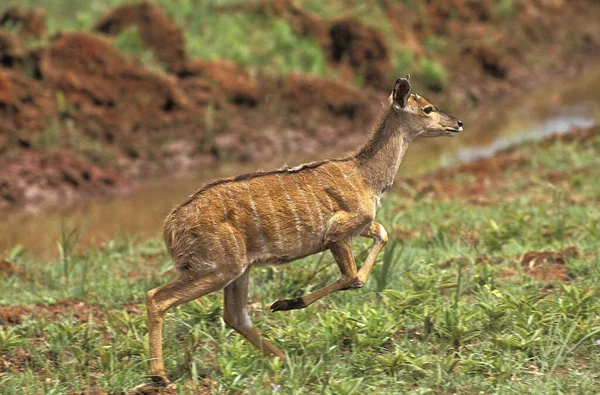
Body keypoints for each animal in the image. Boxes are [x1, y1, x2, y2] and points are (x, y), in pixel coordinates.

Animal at [146, 76, 464, 386]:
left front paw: (282, 305)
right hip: (217, 267)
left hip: (238, 268)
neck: (365, 176)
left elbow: (381, 236)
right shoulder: (337, 232)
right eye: (428, 108)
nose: (458, 123)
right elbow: (352, 277)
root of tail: (170, 228)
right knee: (157, 297)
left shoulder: (360, 227)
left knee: (235, 316)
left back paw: (283, 359)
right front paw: (286, 303)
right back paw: (160, 376)